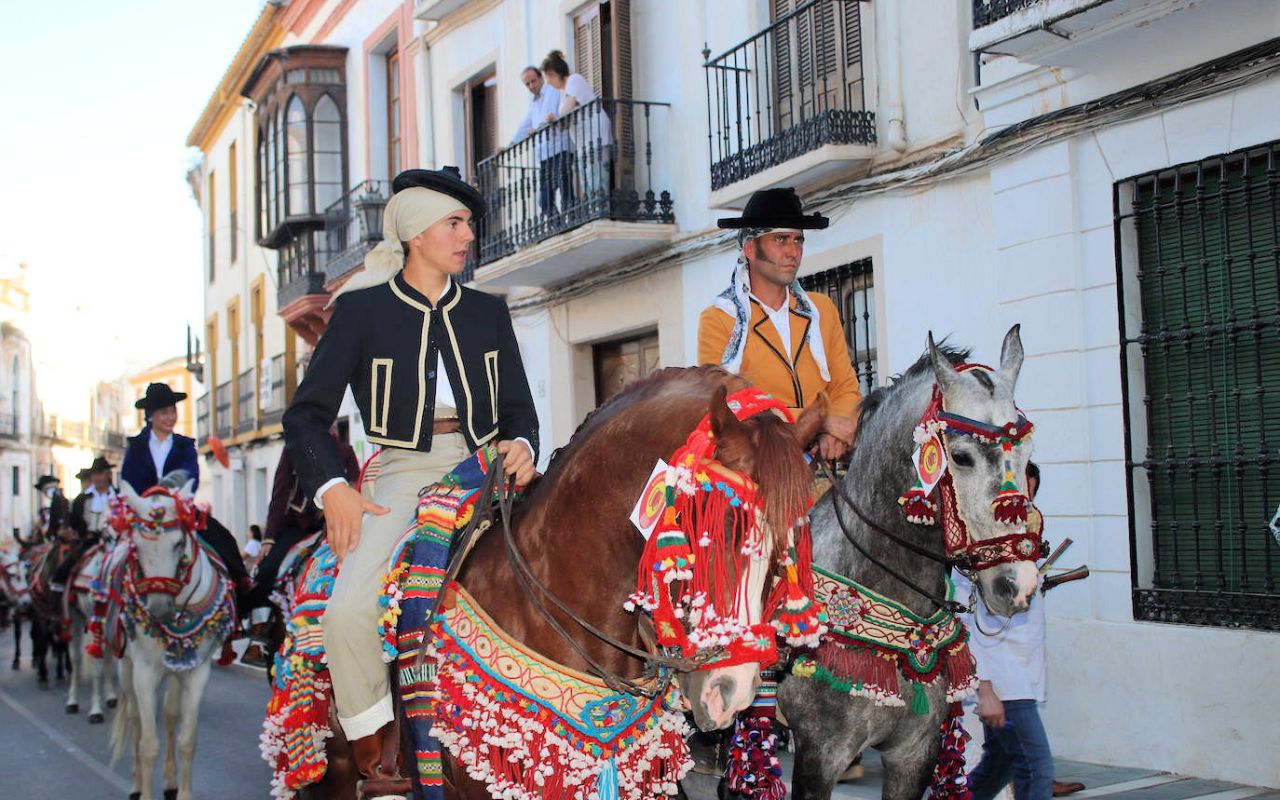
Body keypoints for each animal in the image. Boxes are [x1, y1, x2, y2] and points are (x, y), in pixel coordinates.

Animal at [110, 476, 235, 798]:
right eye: (137, 545)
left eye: (179, 542)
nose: (158, 610)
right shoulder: (144, 672)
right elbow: (147, 744)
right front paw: (145, 792)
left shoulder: (197, 672)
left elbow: (187, 739)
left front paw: (183, 791)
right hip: (126, 668)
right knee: (135, 720)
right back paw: (136, 783)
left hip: (174, 674)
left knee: (168, 715)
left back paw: (169, 780)